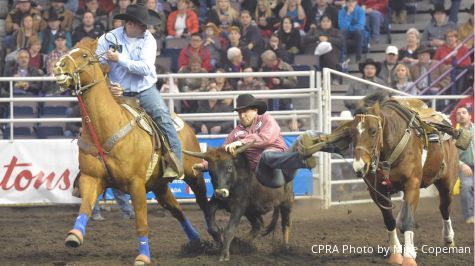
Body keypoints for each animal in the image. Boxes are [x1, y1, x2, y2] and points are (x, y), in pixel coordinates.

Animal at [53, 38, 208, 264]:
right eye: (68, 51)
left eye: (84, 55)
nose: (58, 67)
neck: (106, 128)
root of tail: (185, 125)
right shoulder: (91, 178)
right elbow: (85, 208)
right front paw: (75, 235)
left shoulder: (136, 185)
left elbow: (141, 223)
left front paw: (143, 256)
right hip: (159, 185)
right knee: (177, 210)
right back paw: (196, 241)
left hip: (193, 173)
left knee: (203, 201)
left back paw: (215, 234)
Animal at [350, 102, 462, 266]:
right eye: (351, 133)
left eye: (373, 131)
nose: (359, 167)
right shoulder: (377, 190)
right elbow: (389, 220)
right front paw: (396, 252)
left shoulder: (412, 184)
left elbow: (408, 219)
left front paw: (408, 256)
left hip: (446, 183)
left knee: (444, 208)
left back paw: (448, 239)